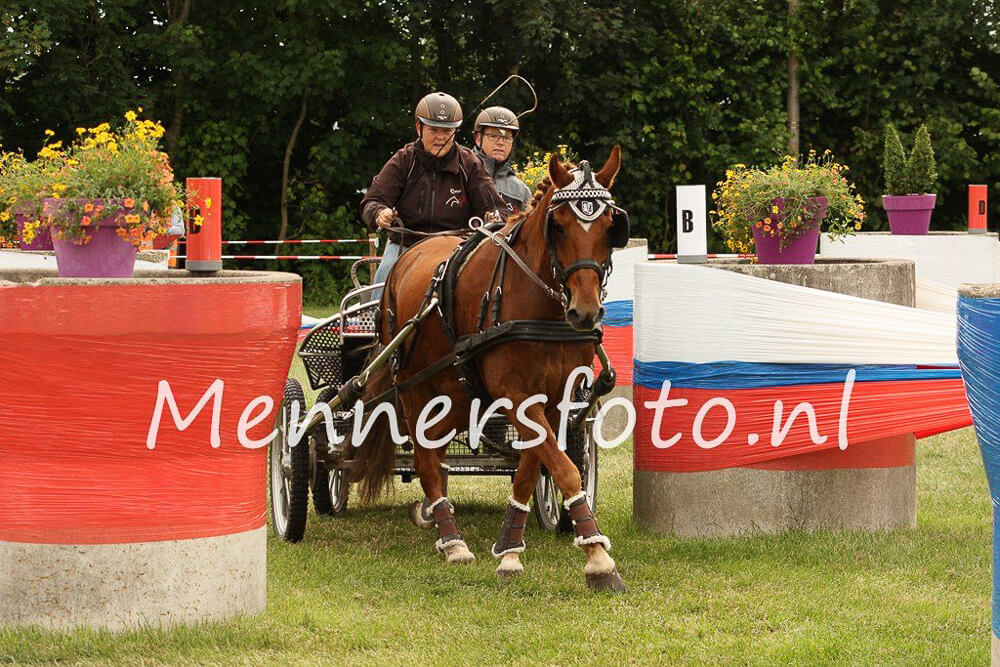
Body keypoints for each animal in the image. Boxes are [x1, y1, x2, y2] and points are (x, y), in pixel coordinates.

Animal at [354, 147, 624, 596]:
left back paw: (437, 518)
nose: (584, 311)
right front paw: (598, 558)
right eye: (559, 226)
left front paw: (510, 550)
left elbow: (532, 470)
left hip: (457, 392)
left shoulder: (555, 400)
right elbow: (566, 470)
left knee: (439, 455)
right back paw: (452, 540)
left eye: (609, 227)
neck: (539, 305)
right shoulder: (515, 396)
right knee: (425, 459)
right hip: (412, 388)